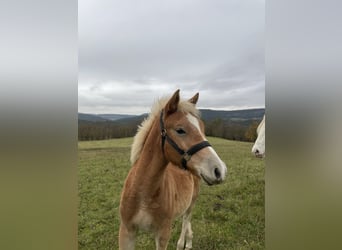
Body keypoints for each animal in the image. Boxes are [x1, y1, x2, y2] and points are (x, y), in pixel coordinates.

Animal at [119, 89, 228, 249]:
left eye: (202, 128)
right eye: (180, 130)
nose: (219, 170)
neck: (143, 194)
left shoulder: (163, 233)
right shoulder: (127, 231)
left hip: (191, 203)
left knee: (185, 220)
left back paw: (184, 243)